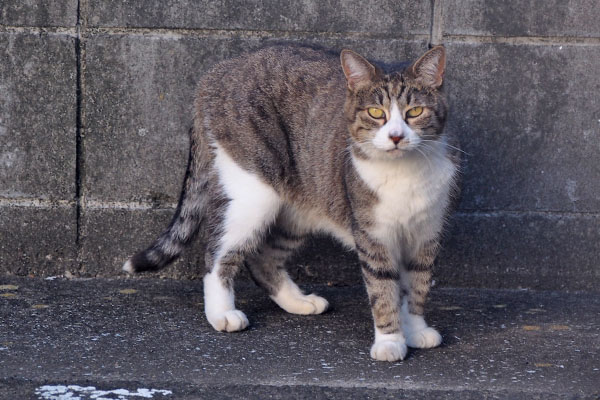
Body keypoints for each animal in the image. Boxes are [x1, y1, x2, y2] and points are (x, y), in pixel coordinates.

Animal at [123, 44, 460, 362]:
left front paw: (414, 329)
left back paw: (299, 302)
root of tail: (219, 71)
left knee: (263, 259)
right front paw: (390, 341)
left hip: (301, 208)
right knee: (217, 252)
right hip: (253, 192)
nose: (396, 137)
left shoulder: (425, 234)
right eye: (376, 113)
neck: (404, 174)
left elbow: (416, 285)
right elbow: (384, 288)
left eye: (415, 112)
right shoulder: (373, 234)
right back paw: (222, 314)